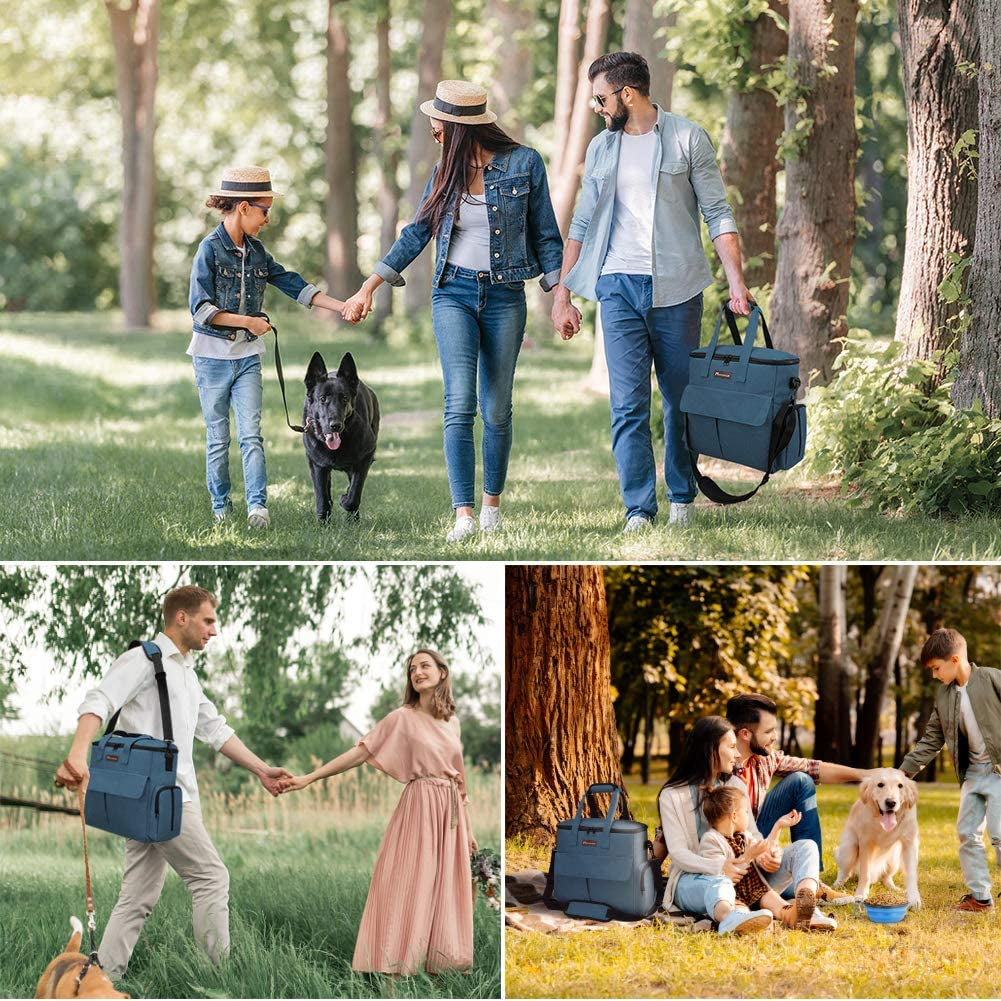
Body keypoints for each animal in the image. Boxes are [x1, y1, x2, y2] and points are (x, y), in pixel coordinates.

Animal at [300, 352, 378, 520]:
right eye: (322, 398)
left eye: (344, 398)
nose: (335, 425)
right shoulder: (317, 465)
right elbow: (322, 498)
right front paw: (323, 521)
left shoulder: (365, 458)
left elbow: (354, 495)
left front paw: (345, 500)